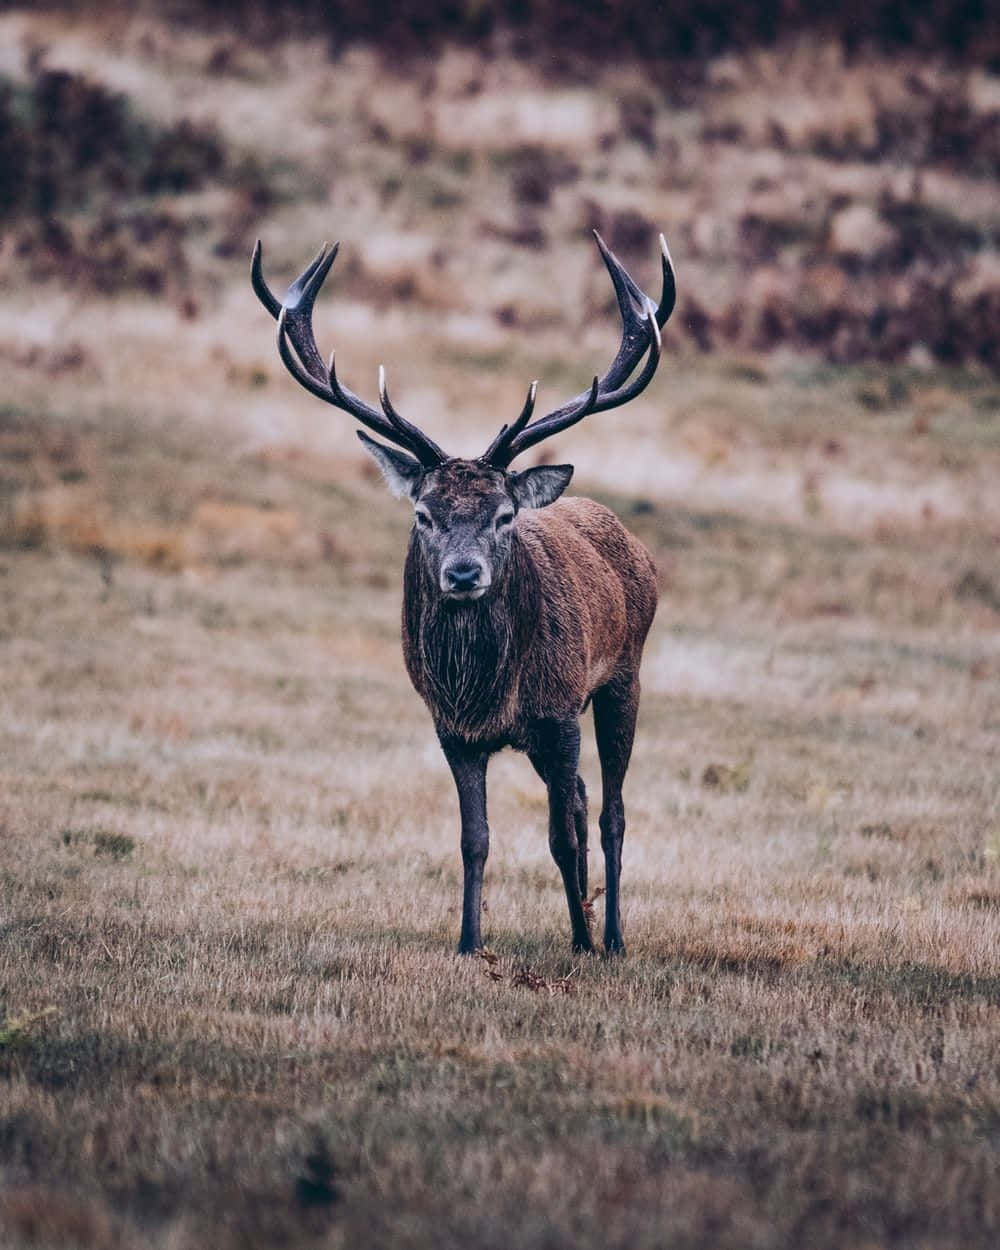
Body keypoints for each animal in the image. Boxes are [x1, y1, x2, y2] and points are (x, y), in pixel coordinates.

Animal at [251, 229, 675, 955]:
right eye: (424, 513)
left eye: (504, 516)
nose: (463, 574)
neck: (486, 691)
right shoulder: (452, 728)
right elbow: (474, 839)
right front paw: (469, 941)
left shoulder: (559, 710)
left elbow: (563, 835)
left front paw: (582, 942)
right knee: (582, 796)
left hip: (624, 676)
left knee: (610, 811)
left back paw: (612, 936)